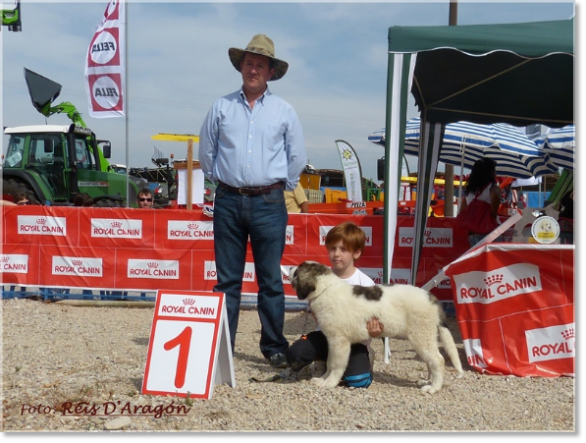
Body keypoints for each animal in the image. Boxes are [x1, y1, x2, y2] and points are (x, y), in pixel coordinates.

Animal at [288, 262, 460, 394]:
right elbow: (329, 363)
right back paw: (427, 381)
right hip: (425, 337)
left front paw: (329, 383)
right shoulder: (332, 340)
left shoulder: (339, 341)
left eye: (296, 271)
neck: (326, 289)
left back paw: (433, 388)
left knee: (438, 360)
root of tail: (431, 298)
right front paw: (322, 379)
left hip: (421, 335)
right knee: (430, 361)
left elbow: (335, 365)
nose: (288, 267)